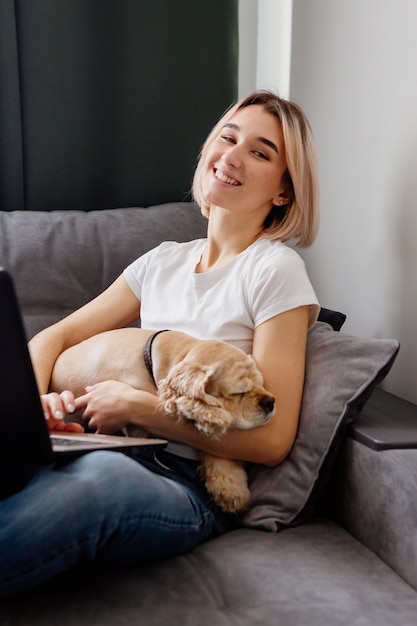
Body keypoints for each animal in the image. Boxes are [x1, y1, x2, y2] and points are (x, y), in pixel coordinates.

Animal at [50, 326, 274, 512]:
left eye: (261, 384)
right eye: (239, 392)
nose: (270, 402)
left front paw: (230, 487)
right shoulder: (138, 426)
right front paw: (208, 412)